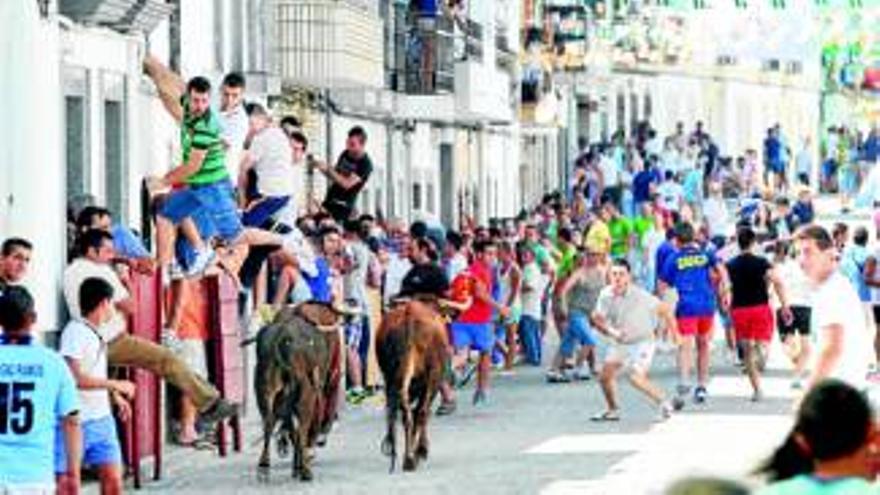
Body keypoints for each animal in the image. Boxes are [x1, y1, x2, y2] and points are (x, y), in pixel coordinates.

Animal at [248, 302, 350, 480]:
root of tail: (282, 336)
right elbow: (302, 427)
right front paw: (302, 461)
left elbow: (289, 428)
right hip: (306, 393)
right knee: (301, 426)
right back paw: (305, 470)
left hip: (264, 390)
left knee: (268, 423)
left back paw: (264, 466)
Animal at [376, 298, 450, 472]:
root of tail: (410, 313)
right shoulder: (431, 382)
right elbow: (422, 412)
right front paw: (422, 449)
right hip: (432, 376)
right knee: (421, 412)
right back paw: (414, 455)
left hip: (392, 376)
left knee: (402, 413)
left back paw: (405, 456)